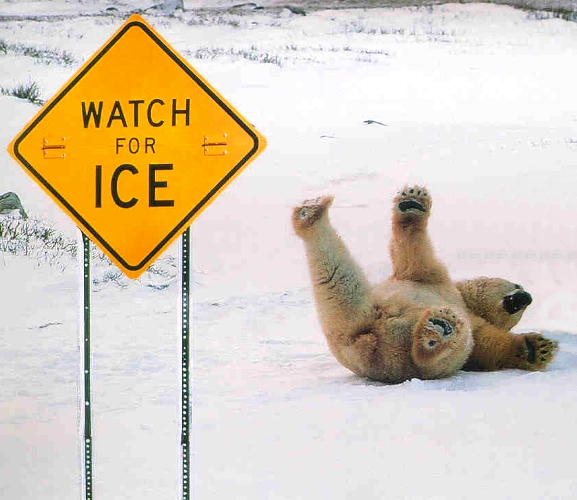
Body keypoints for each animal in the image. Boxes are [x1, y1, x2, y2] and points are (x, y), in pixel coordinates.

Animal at [292, 185, 560, 382]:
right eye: (517, 285)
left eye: (520, 308)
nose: (524, 297)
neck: (463, 298)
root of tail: (366, 346)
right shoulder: (434, 278)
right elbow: (414, 255)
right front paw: (412, 202)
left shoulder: (457, 305)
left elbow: (486, 346)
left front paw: (536, 348)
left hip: (361, 320)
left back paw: (436, 331)